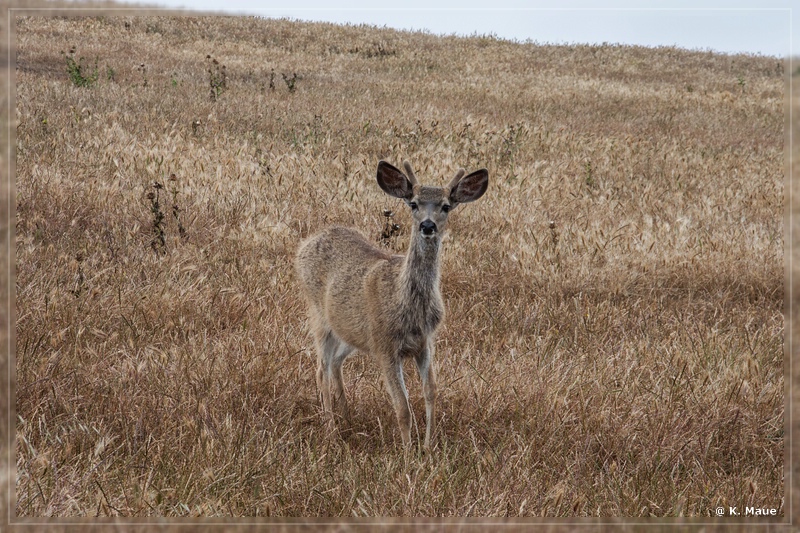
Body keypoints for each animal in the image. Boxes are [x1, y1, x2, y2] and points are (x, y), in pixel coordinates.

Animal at [294, 160, 488, 446]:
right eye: (414, 203)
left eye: (445, 205)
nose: (427, 226)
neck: (406, 302)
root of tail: (306, 243)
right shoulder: (385, 346)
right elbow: (402, 406)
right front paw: (408, 452)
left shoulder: (424, 342)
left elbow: (431, 392)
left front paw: (428, 446)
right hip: (319, 316)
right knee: (321, 370)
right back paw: (331, 431)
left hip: (352, 333)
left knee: (336, 363)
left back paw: (347, 418)